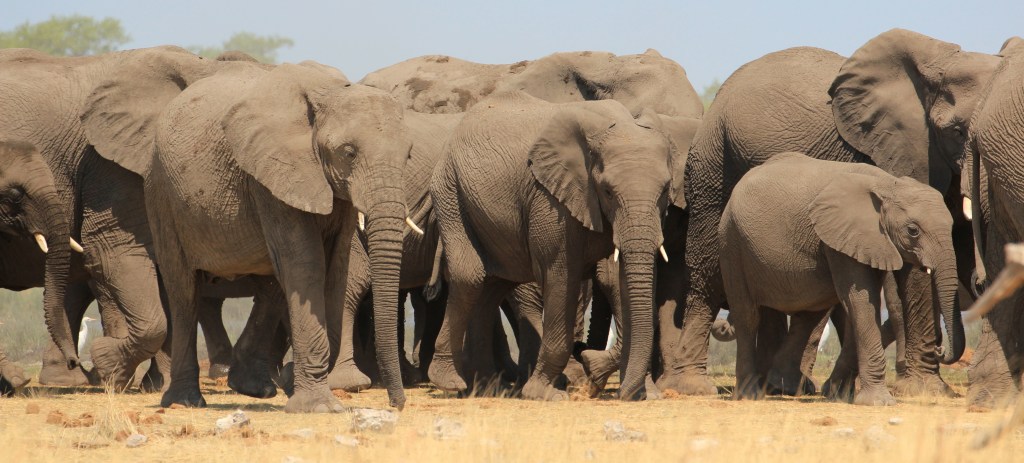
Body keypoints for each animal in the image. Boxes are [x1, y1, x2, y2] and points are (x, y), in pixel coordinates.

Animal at [119, 61, 412, 412]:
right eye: (349, 153)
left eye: (409, 156)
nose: (397, 404)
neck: (328, 94)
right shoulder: (272, 175)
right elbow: (306, 265)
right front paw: (317, 407)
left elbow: (335, 269)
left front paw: (293, 384)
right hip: (161, 192)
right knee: (184, 290)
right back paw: (184, 401)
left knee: (271, 284)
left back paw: (254, 388)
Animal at [428, 90, 685, 401]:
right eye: (608, 191)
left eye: (665, 190)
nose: (625, 394)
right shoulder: (550, 199)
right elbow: (562, 275)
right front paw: (544, 394)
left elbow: (619, 280)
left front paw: (645, 394)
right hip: (450, 190)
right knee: (470, 276)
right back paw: (450, 382)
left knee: (493, 285)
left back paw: (487, 388)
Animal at [718, 152, 963, 405]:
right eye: (913, 230)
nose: (940, 350)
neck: (888, 184)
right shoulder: (841, 239)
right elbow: (861, 301)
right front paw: (878, 402)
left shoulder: (873, 242)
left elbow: (862, 304)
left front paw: (837, 394)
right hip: (732, 242)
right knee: (748, 315)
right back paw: (750, 394)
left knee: (809, 314)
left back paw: (781, 384)